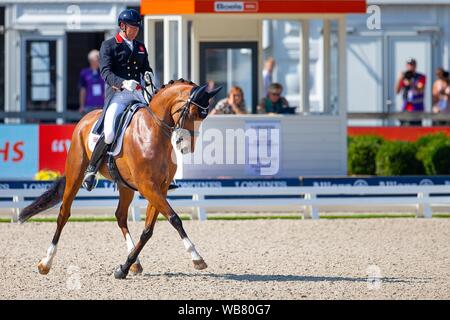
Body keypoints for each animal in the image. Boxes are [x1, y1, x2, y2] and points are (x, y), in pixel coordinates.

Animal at [18, 80, 221, 280]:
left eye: (203, 117)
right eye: (191, 113)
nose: (187, 147)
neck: (152, 132)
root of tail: (85, 118)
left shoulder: (159, 189)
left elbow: (148, 230)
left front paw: (124, 267)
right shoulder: (148, 187)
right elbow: (174, 219)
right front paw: (197, 257)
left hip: (125, 186)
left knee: (120, 216)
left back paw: (135, 263)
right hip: (75, 175)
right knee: (63, 214)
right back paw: (46, 263)